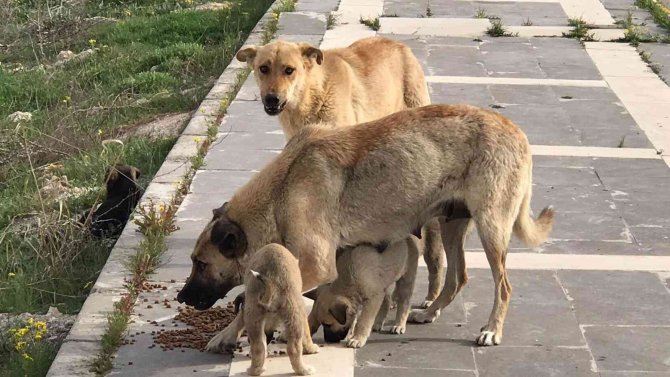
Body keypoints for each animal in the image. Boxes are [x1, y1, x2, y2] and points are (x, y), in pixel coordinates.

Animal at [177, 103, 556, 346]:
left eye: (201, 263)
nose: (180, 297)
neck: (282, 188)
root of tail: (519, 133)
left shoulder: (316, 265)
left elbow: (254, 304)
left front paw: (226, 335)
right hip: (450, 225)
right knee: (457, 276)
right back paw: (429, 313)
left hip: (491, 230)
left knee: (503, 286)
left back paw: (492, 330)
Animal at [245, 242, 322, 374]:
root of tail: (272, 280)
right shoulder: (302, 313)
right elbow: (307, 333)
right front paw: (312, 349)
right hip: (294, 313)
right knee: (294, 349)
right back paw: (304, 370)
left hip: (253, 316)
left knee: (258, 347)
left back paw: (255, 370)